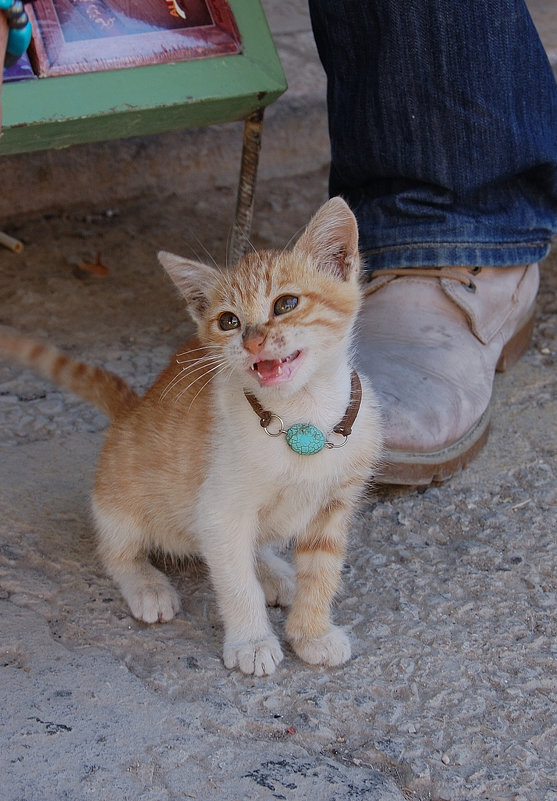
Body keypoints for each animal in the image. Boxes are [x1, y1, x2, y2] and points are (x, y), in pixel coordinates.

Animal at [0, 198, 382, 676]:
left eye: (287, 303)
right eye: (228, 321)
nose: (253, 341)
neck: (301, 419)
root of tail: (133, 408)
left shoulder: (334, 505)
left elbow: (322, 574)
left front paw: (311, 633)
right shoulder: (220, 509)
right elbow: (236, 581)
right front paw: (252, 641)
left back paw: (274, 571)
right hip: (120, 501)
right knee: (117, 551)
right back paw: (147, 584)